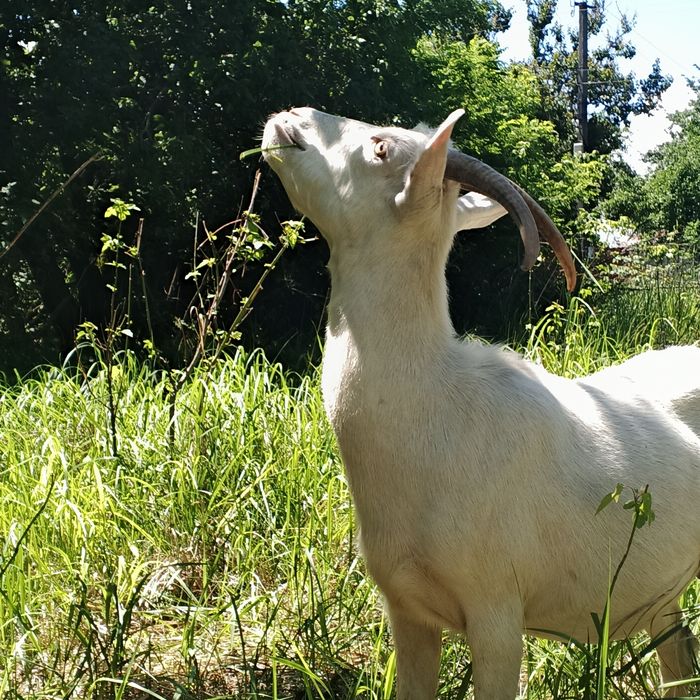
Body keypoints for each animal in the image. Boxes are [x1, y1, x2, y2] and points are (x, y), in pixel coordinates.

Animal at [262, 107, 700, 699]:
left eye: (381, 148)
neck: (432, 408)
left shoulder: (497, 614)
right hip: (664, 593)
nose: (289, 117)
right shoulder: (406, 609)